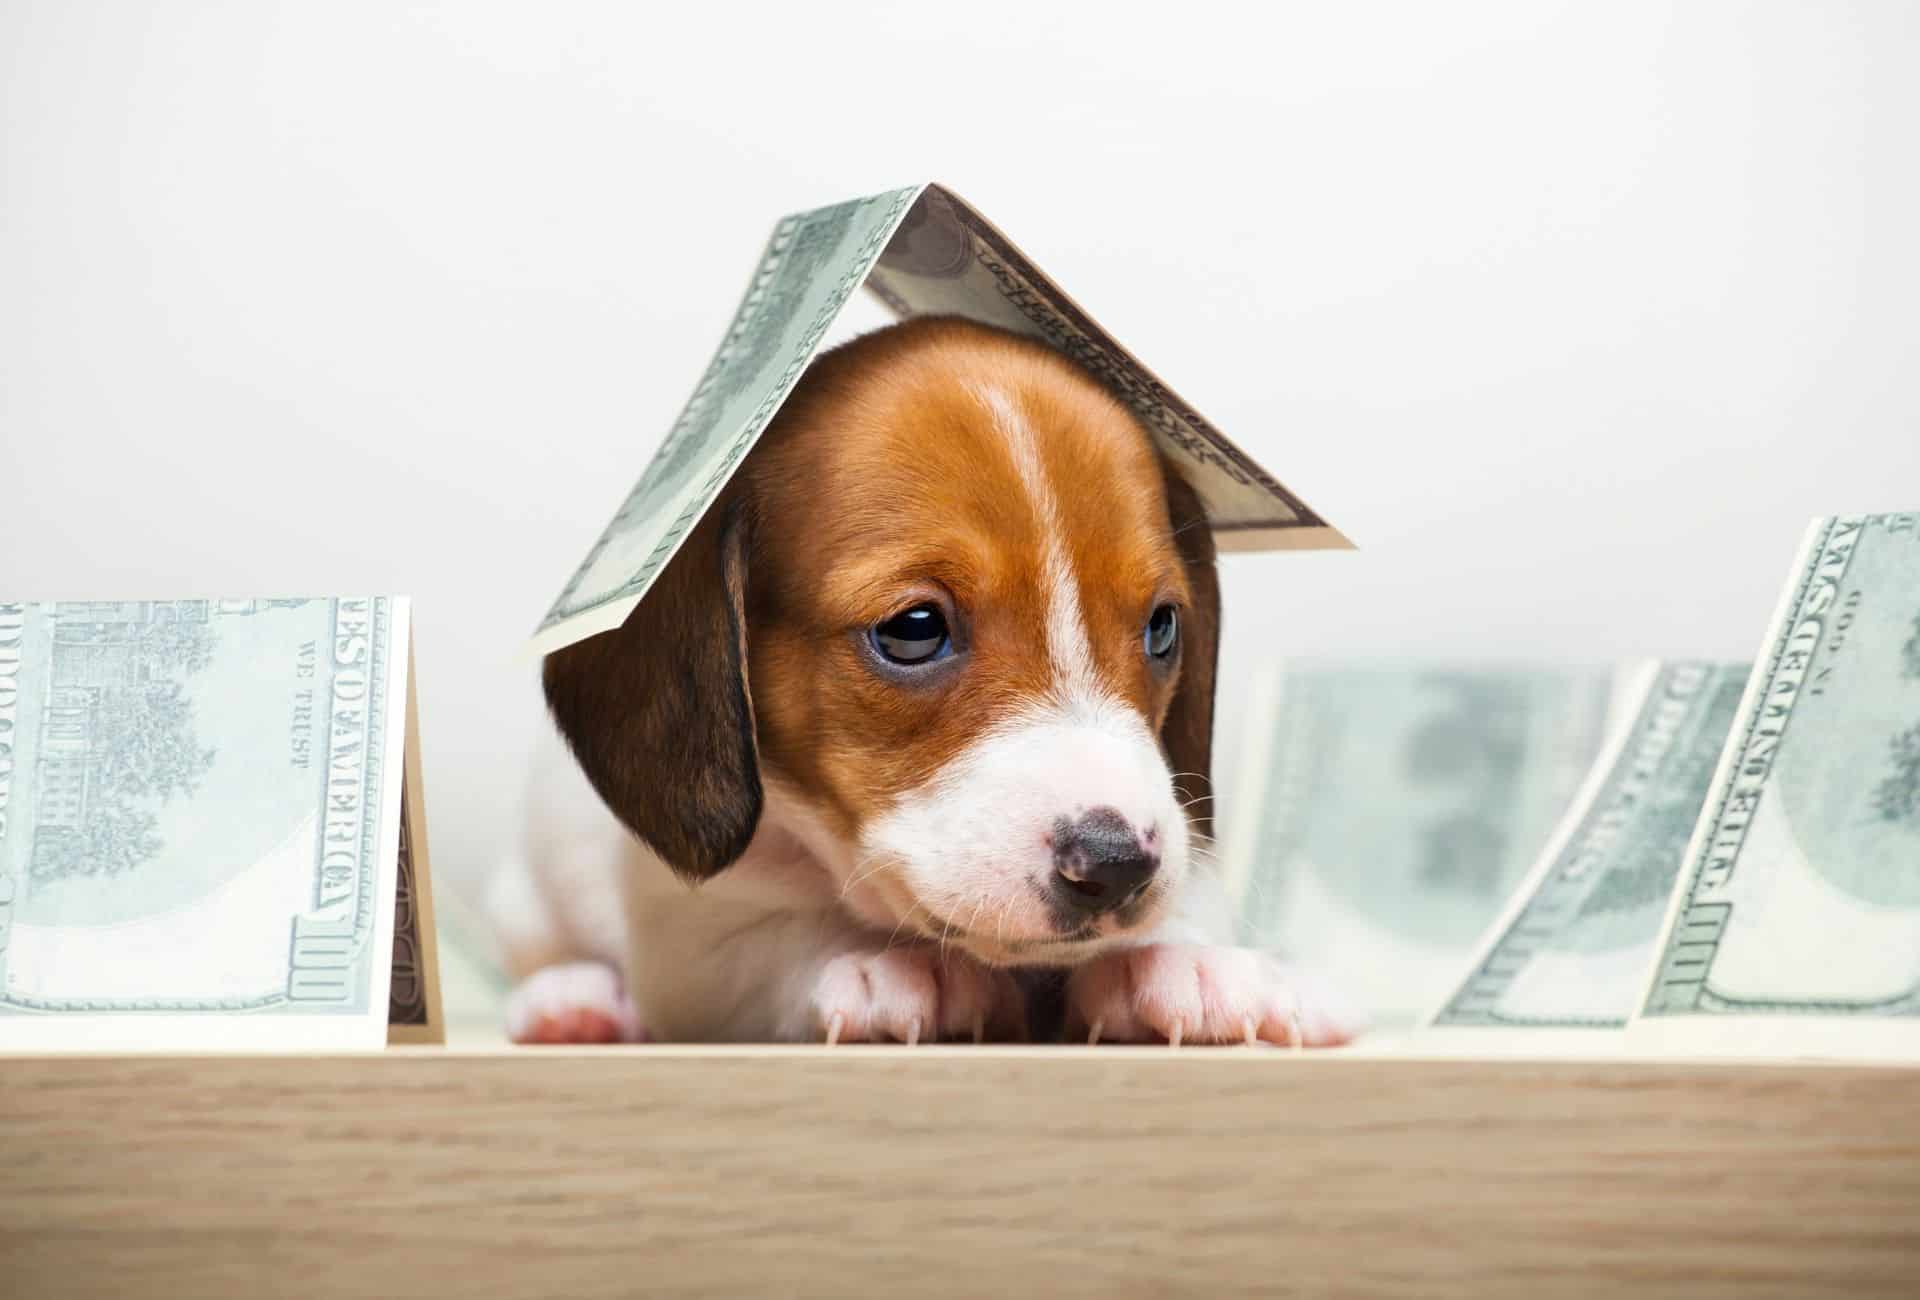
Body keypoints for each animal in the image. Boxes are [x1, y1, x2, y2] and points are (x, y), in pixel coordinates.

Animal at [495, 318, 1367, 1052]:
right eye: (914, 628)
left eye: (1162, 627)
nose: (1117, 863)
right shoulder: (695, 948)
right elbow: (782, 937)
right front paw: (894, 967)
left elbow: (1185, 912)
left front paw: (1189, 963)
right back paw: (572, 1002)